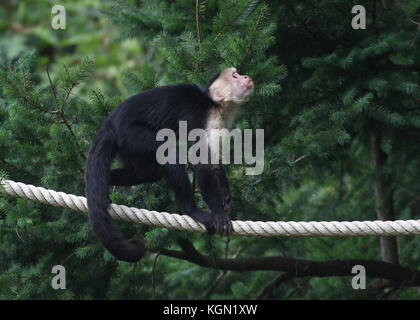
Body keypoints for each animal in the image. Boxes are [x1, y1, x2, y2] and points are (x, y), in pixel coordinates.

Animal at [85, 66, 254, 262]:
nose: (245, 76)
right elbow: (203, 164)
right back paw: (191, 211)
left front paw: (226, 193)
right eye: (235, 76)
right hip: (130, 133)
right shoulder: (211, 120)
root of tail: (110, 122)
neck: (216, 105)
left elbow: (216, 163)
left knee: (146, 174)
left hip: (127, 145)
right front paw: (219, 213)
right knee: (169, 155)